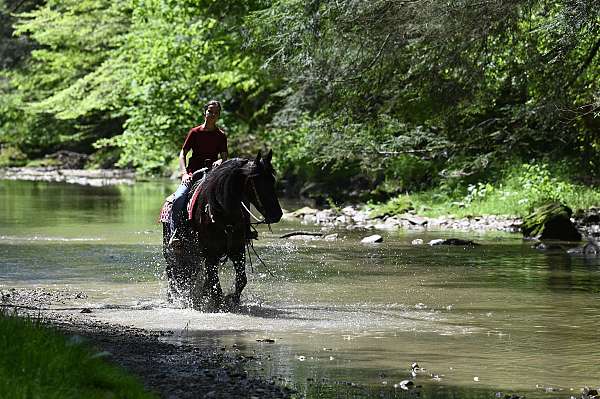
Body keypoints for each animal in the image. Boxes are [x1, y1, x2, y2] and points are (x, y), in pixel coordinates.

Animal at [162, 150, 284, 310]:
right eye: (256, 182)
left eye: (272, 180)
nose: (277, 214)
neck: (222, 211)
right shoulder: (209, 252)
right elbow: (214, 283)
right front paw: (218, 303)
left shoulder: (237, 249)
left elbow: (240, 279)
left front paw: (232, 300)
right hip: (174, 252)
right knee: (173, 272)